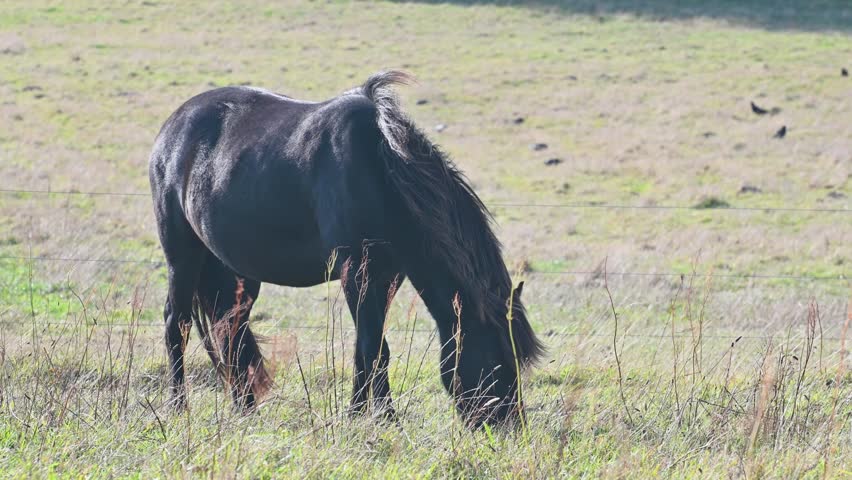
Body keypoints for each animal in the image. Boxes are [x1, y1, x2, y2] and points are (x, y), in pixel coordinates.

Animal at [148, 71, 543, 426]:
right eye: (495, 358)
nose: (510, 425)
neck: (381, 169)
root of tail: (171, 129)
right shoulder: (357, 271)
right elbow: (373, 349)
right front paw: (374, 418)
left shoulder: (387, 275)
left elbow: (366, 349)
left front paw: (368, 416)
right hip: (182, 256)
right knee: (177, 323)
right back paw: (178, 407)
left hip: (236, 272)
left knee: (229, 329)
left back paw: (244, 409)